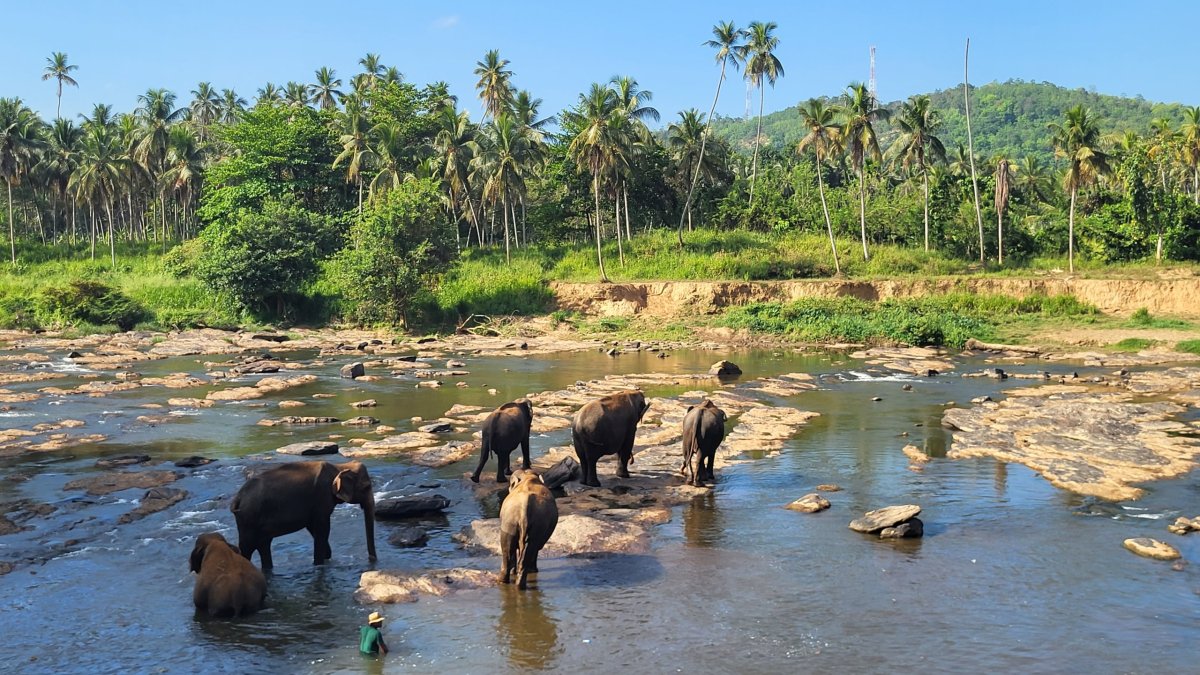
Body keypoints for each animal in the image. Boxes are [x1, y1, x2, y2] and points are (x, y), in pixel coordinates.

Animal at [226, 456, 372, 566]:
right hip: (248, 519)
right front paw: (319, 563)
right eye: (366, 487)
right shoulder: (321, 498)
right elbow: (322, 529)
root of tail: (237, 498)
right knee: (247, 548)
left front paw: (326, 557)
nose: (372, 560)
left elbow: (313, 528)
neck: (339, 467)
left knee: (263, 546)